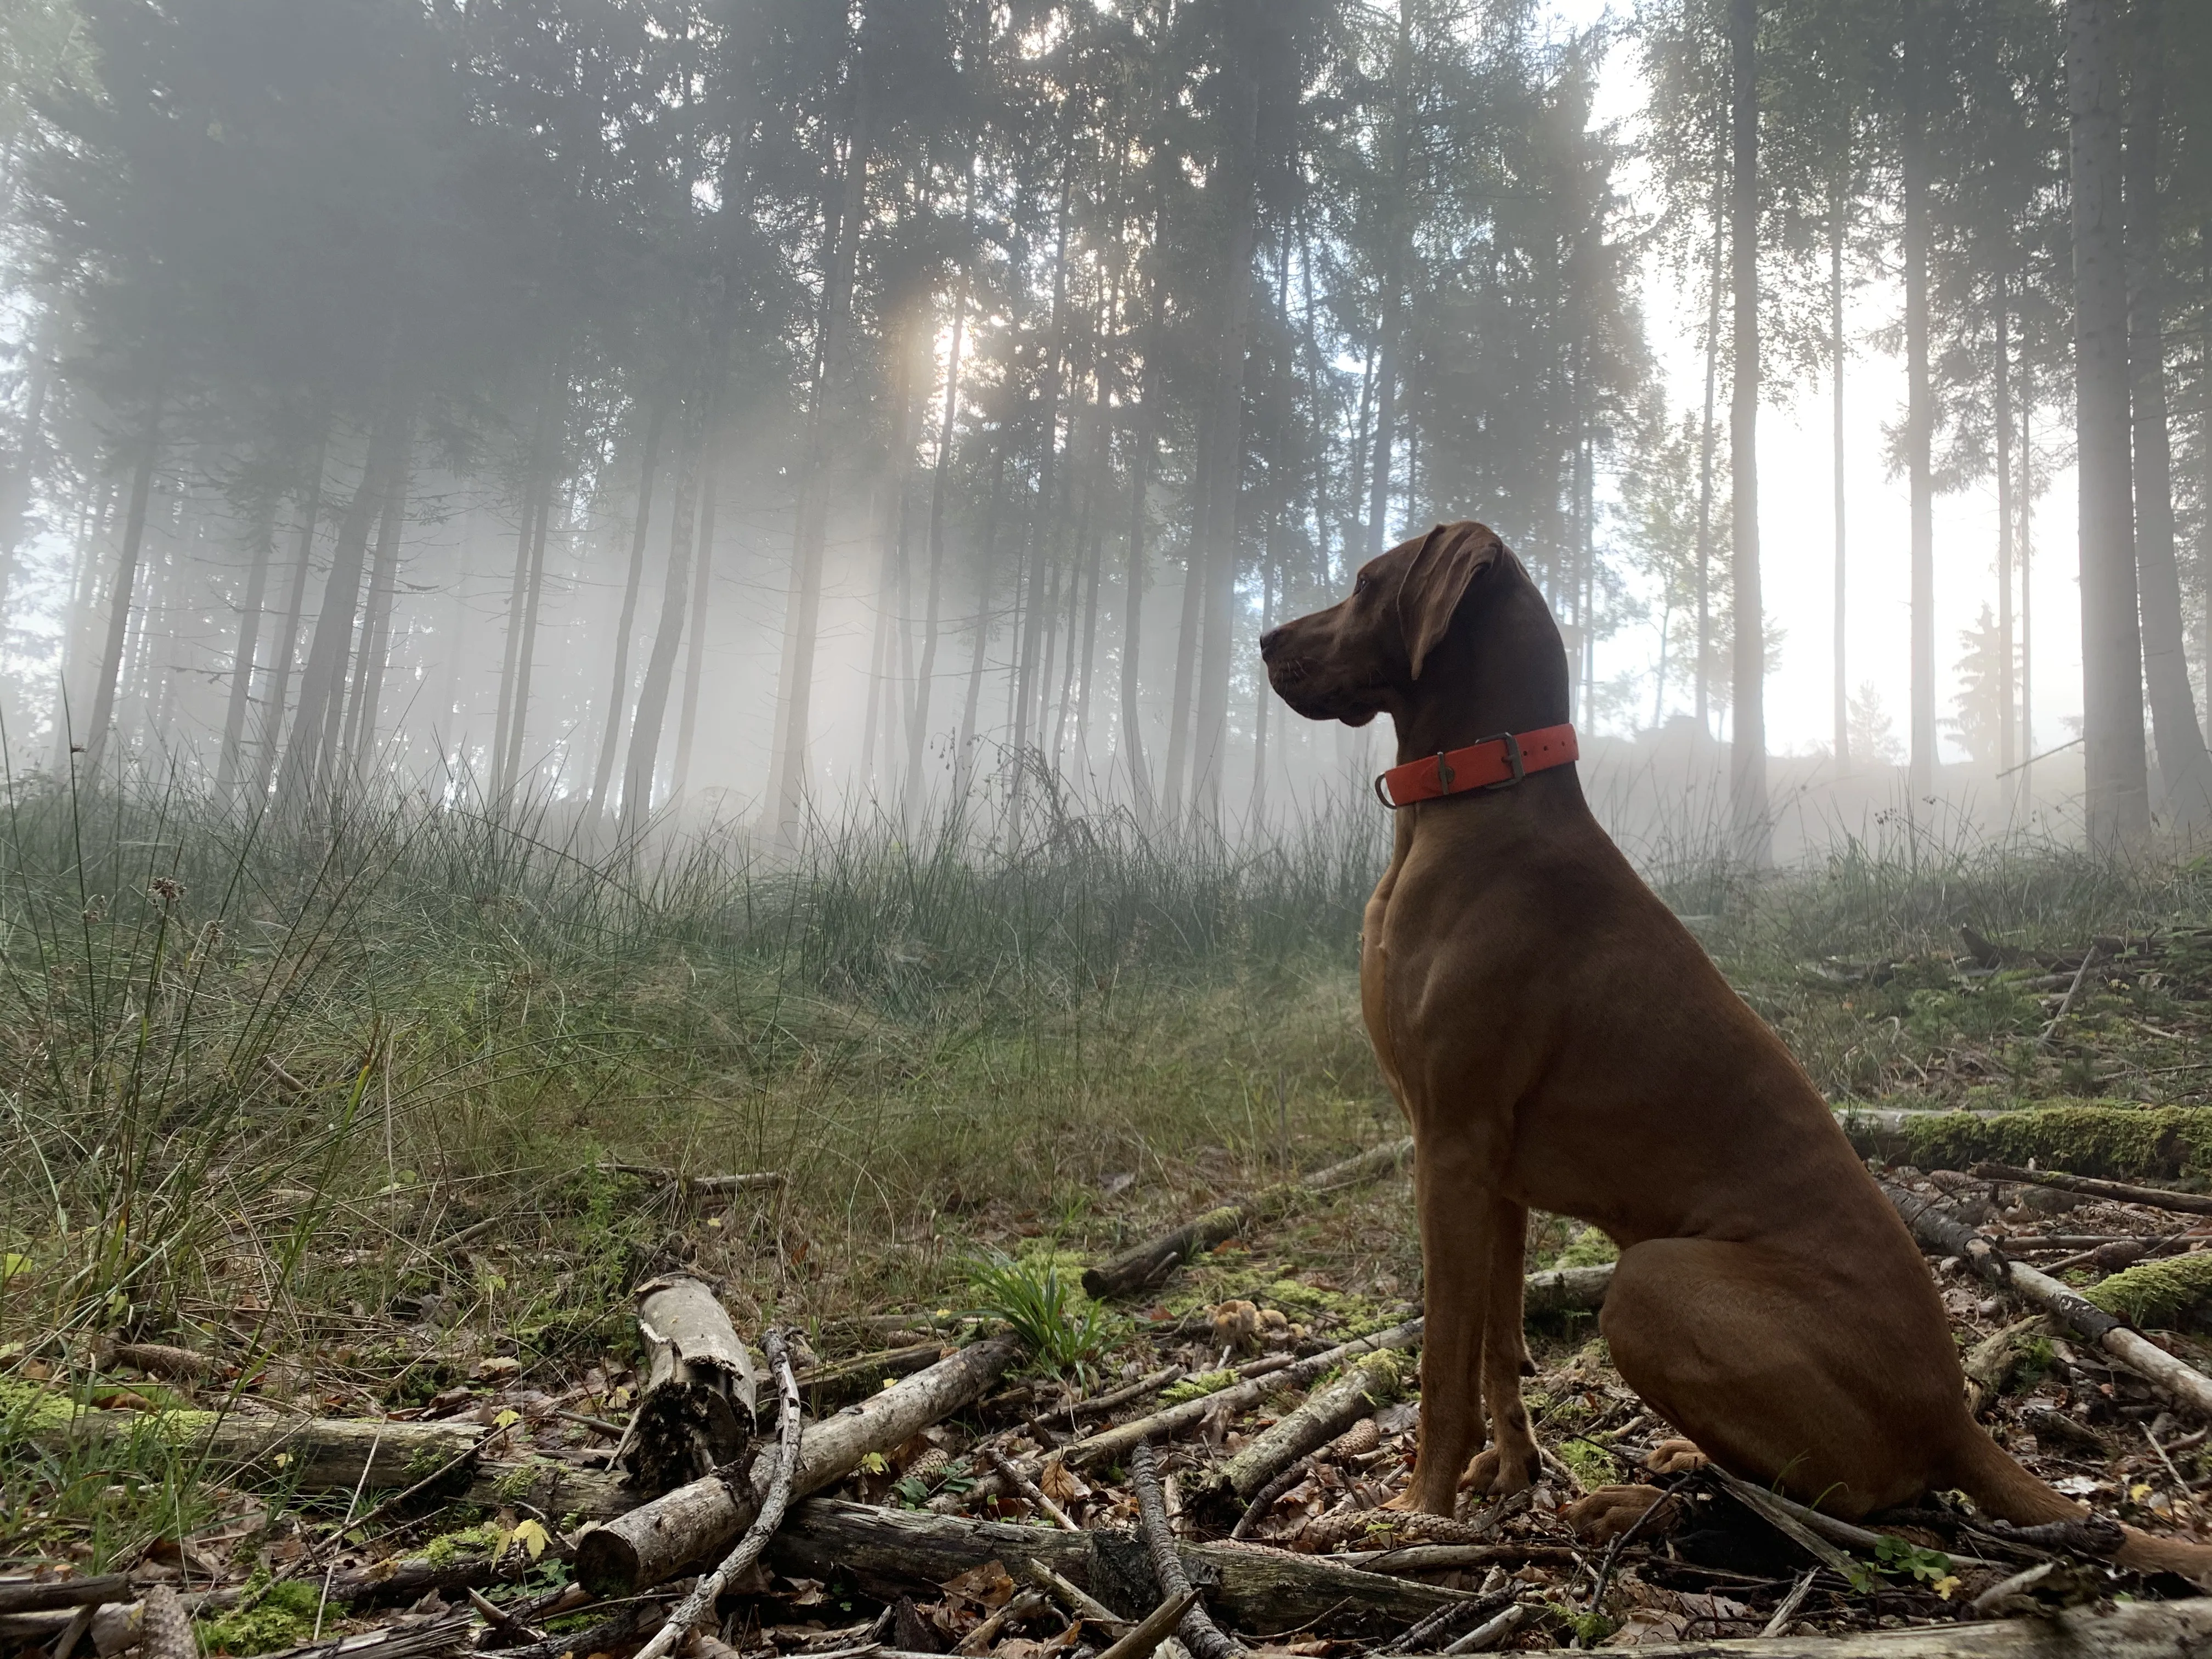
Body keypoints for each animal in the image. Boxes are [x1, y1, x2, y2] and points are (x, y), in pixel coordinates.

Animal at [1265, 522, 2212, 1583]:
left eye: (1365, 582)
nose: (1263, 641)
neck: (1476, 799)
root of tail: (1954, 1414)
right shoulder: (1492, 1176)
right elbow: (1500, 1346)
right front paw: (1507, 1472)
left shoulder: (1450, 1147)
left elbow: (1440, 1362)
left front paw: (1414, 1510)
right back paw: (1671, 1470)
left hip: (1653, 1285)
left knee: (1859, 1506)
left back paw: (1663, 1502)